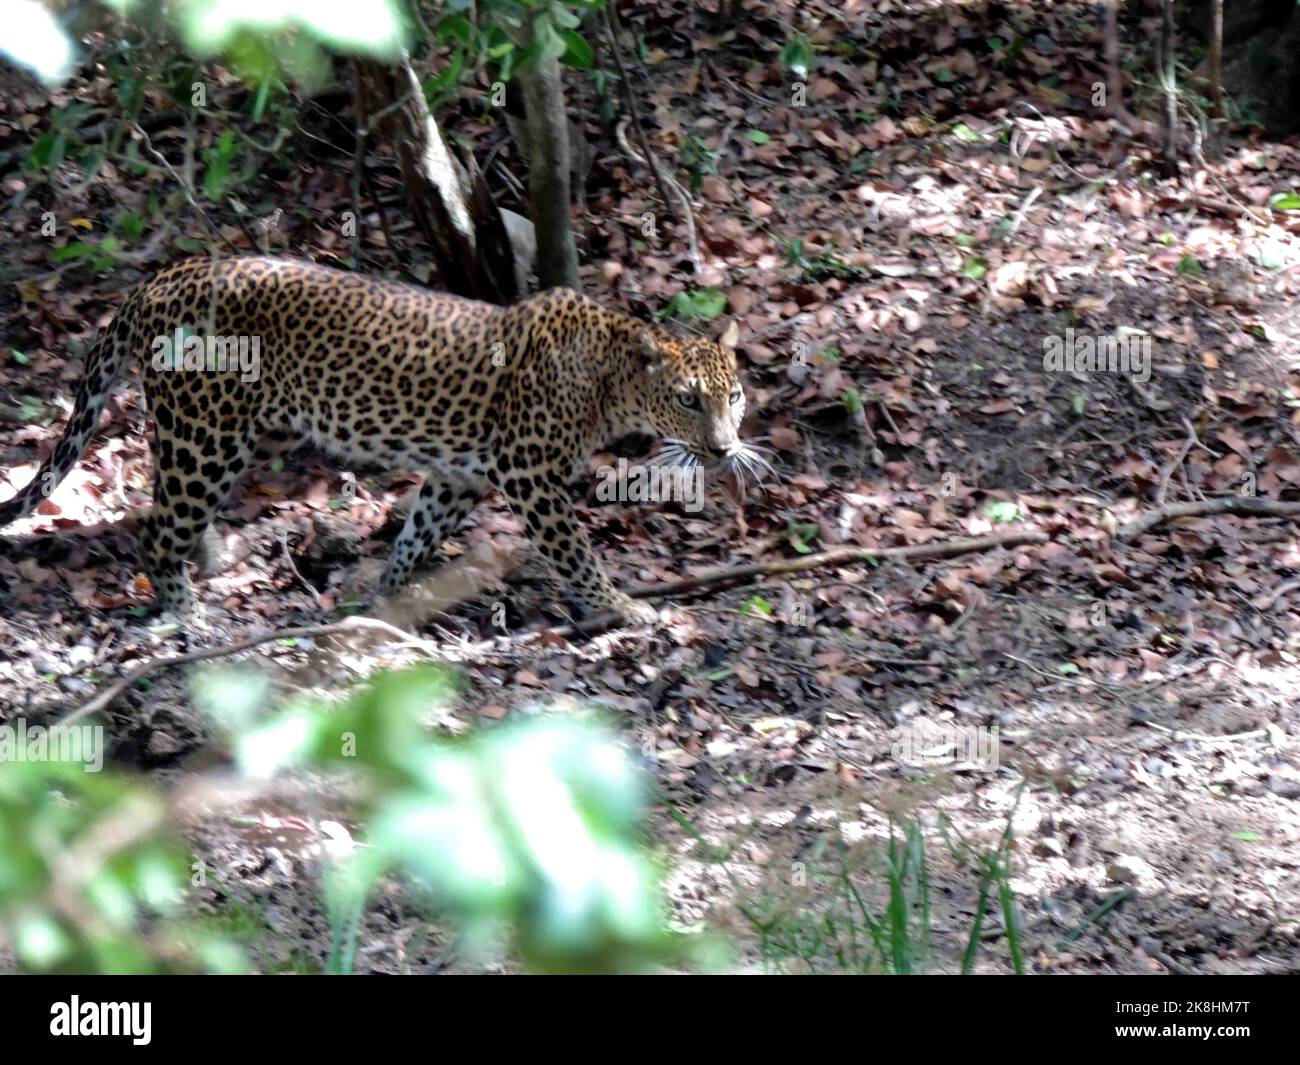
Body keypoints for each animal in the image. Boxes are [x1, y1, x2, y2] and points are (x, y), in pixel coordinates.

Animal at [0, 257, 764, 624]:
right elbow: (575, 552)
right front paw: (623, 608)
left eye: (733, 397)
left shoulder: (462, 475)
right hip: (207, 434)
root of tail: (156, 282)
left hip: (229, 435)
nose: (724, 449)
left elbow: (417, 533)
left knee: (168, 512)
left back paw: (210, 562)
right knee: (155, 530)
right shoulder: (529, 475)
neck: (608, 382)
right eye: (687, 400)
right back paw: (188, 614)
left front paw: (387, 599)